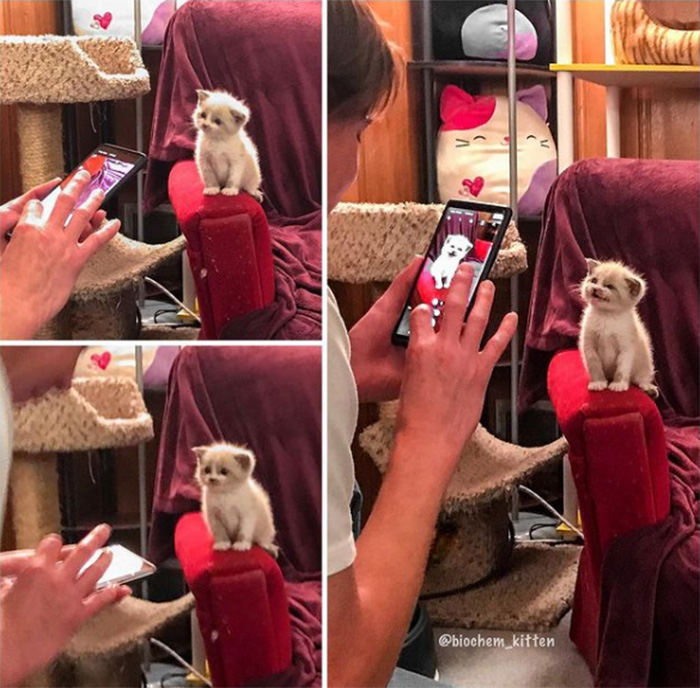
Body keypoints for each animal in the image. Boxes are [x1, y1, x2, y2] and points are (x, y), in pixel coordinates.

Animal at [580, 260, 656, 398]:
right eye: (594, 280)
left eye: (609, 286)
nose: (595, 288)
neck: (606, 316)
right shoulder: (589, 345)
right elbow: (594, 365)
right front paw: (598, 383)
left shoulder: (626, 348)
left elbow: (622, 368)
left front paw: (618, 385)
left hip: (646, 364)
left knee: (642, 378)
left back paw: (649, 388)